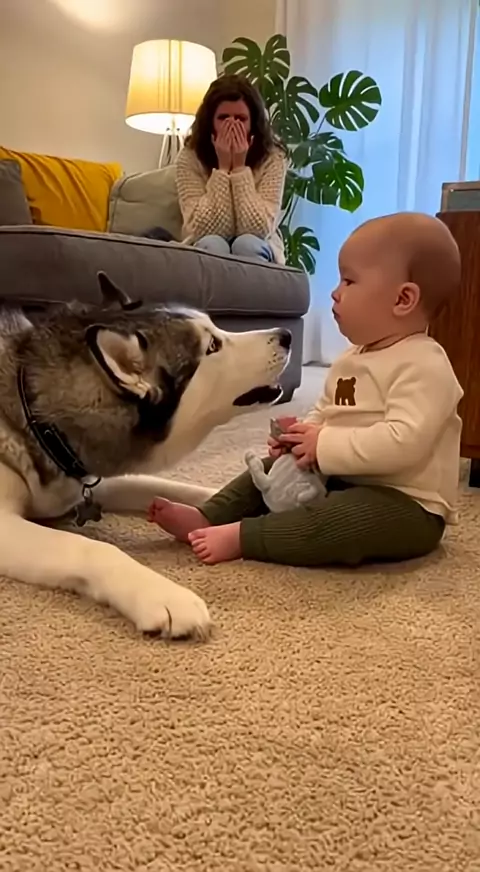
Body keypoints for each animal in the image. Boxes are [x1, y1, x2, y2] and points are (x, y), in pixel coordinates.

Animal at [0, 273, 290, 640]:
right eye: (212, 346)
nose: (287, 335)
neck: (38, 419)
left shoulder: (95, 478)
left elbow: (170, 488)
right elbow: (91, 547)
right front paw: (162, 595)